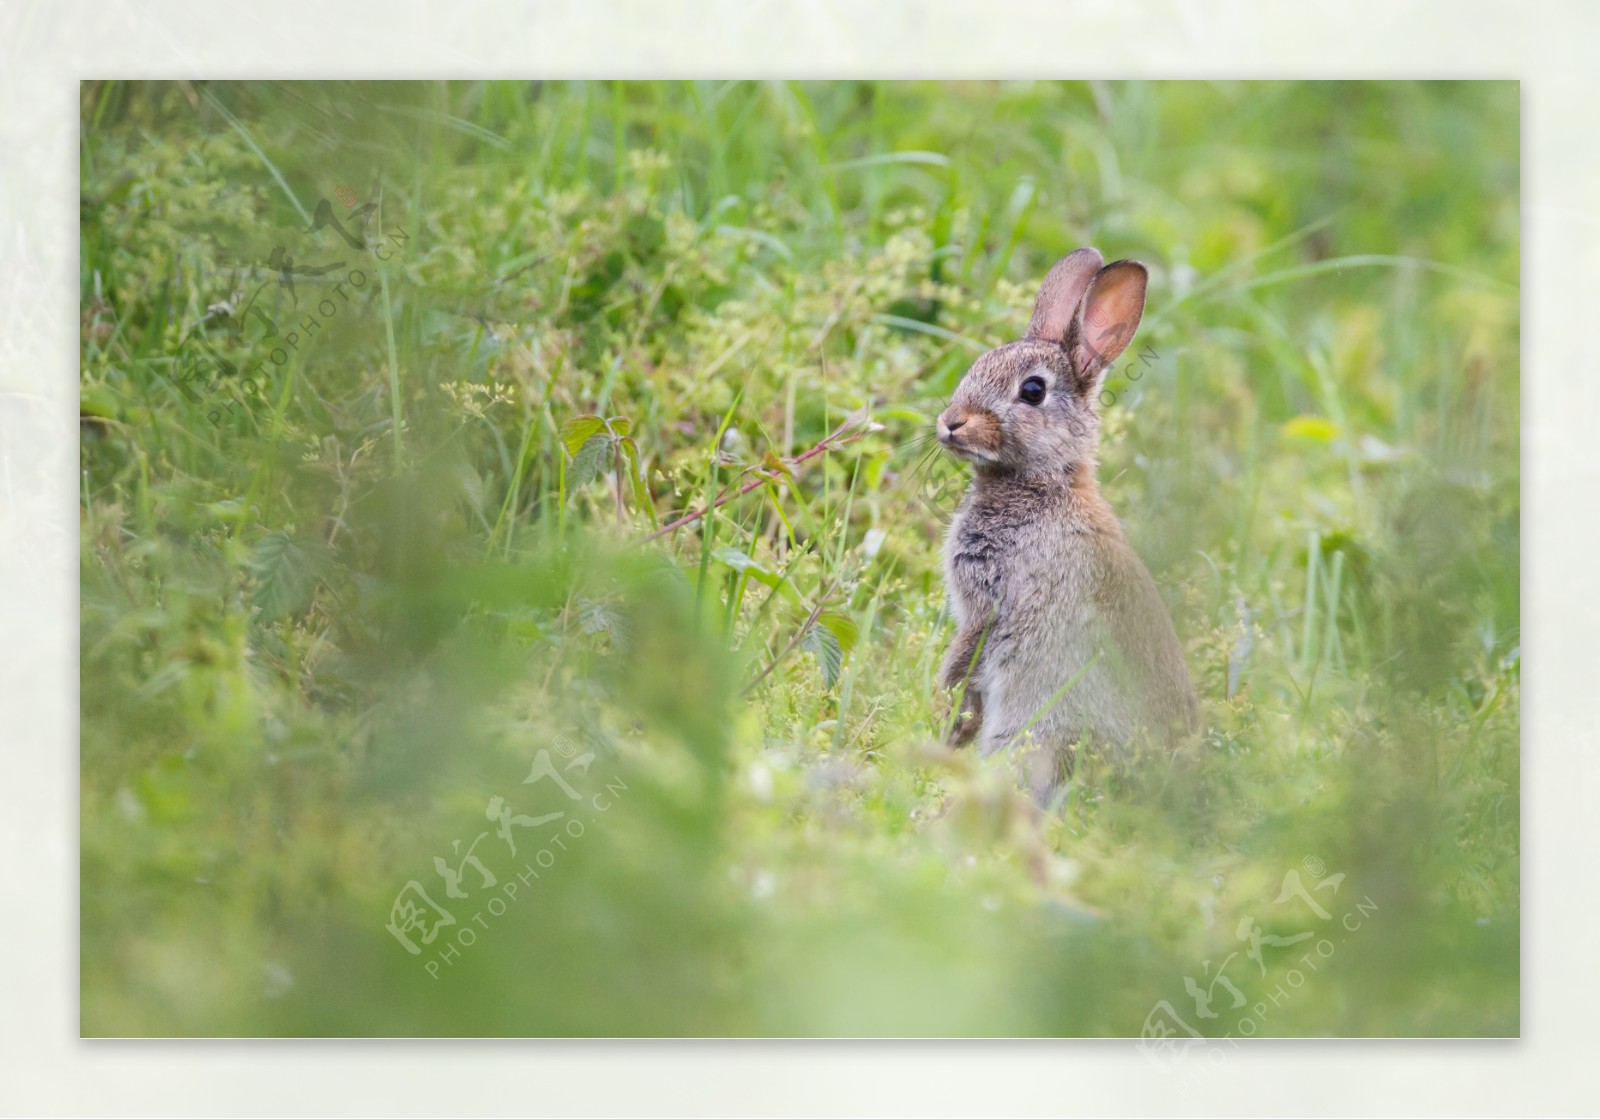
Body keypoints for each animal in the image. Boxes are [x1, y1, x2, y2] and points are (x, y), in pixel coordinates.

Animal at [934, 249, 1203, 800]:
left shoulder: (989, 601)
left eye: (1033, 390)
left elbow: (964, 658)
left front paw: (949, 724)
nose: (951, 422)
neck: (1044, 483)